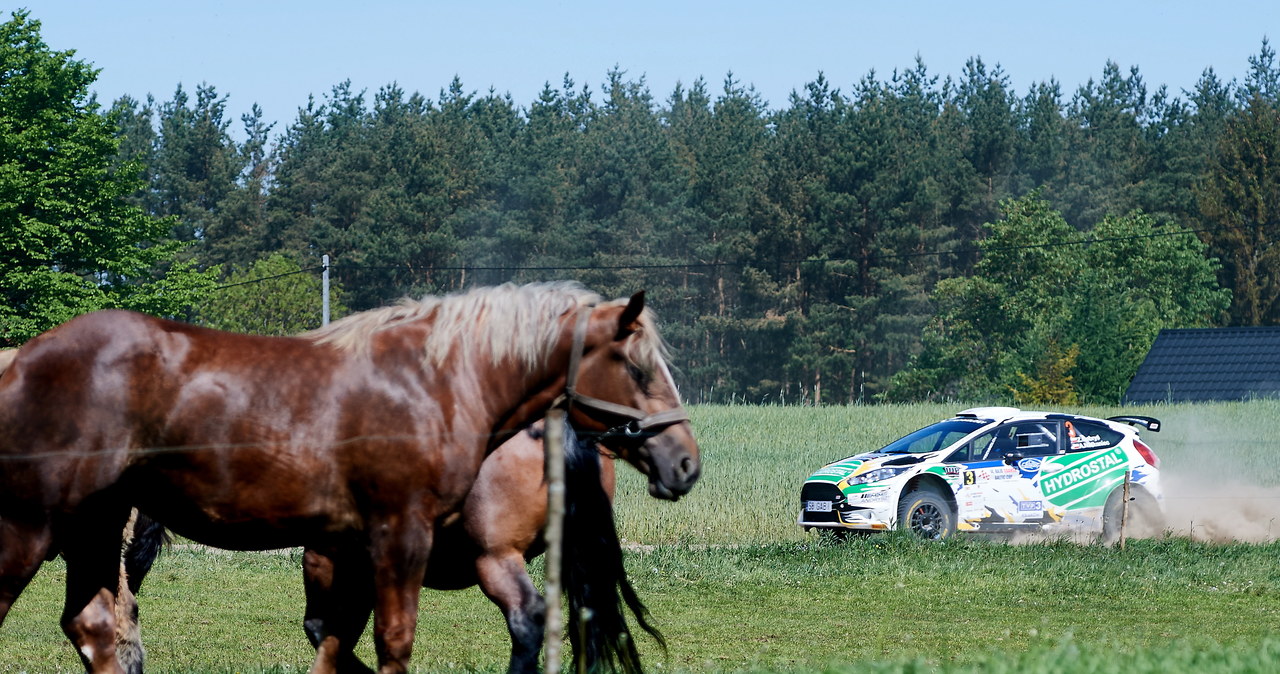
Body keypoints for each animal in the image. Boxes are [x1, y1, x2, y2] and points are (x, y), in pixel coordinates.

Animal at [0, 282, 701, 674]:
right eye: (638, 368)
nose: (686, 462)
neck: (435, 379)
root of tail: (20, 364)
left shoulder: (354, 551)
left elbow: (336, 642)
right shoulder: (396, 536)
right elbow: (389, 642)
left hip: (91, 531)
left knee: (96, 631)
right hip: (29, 530)